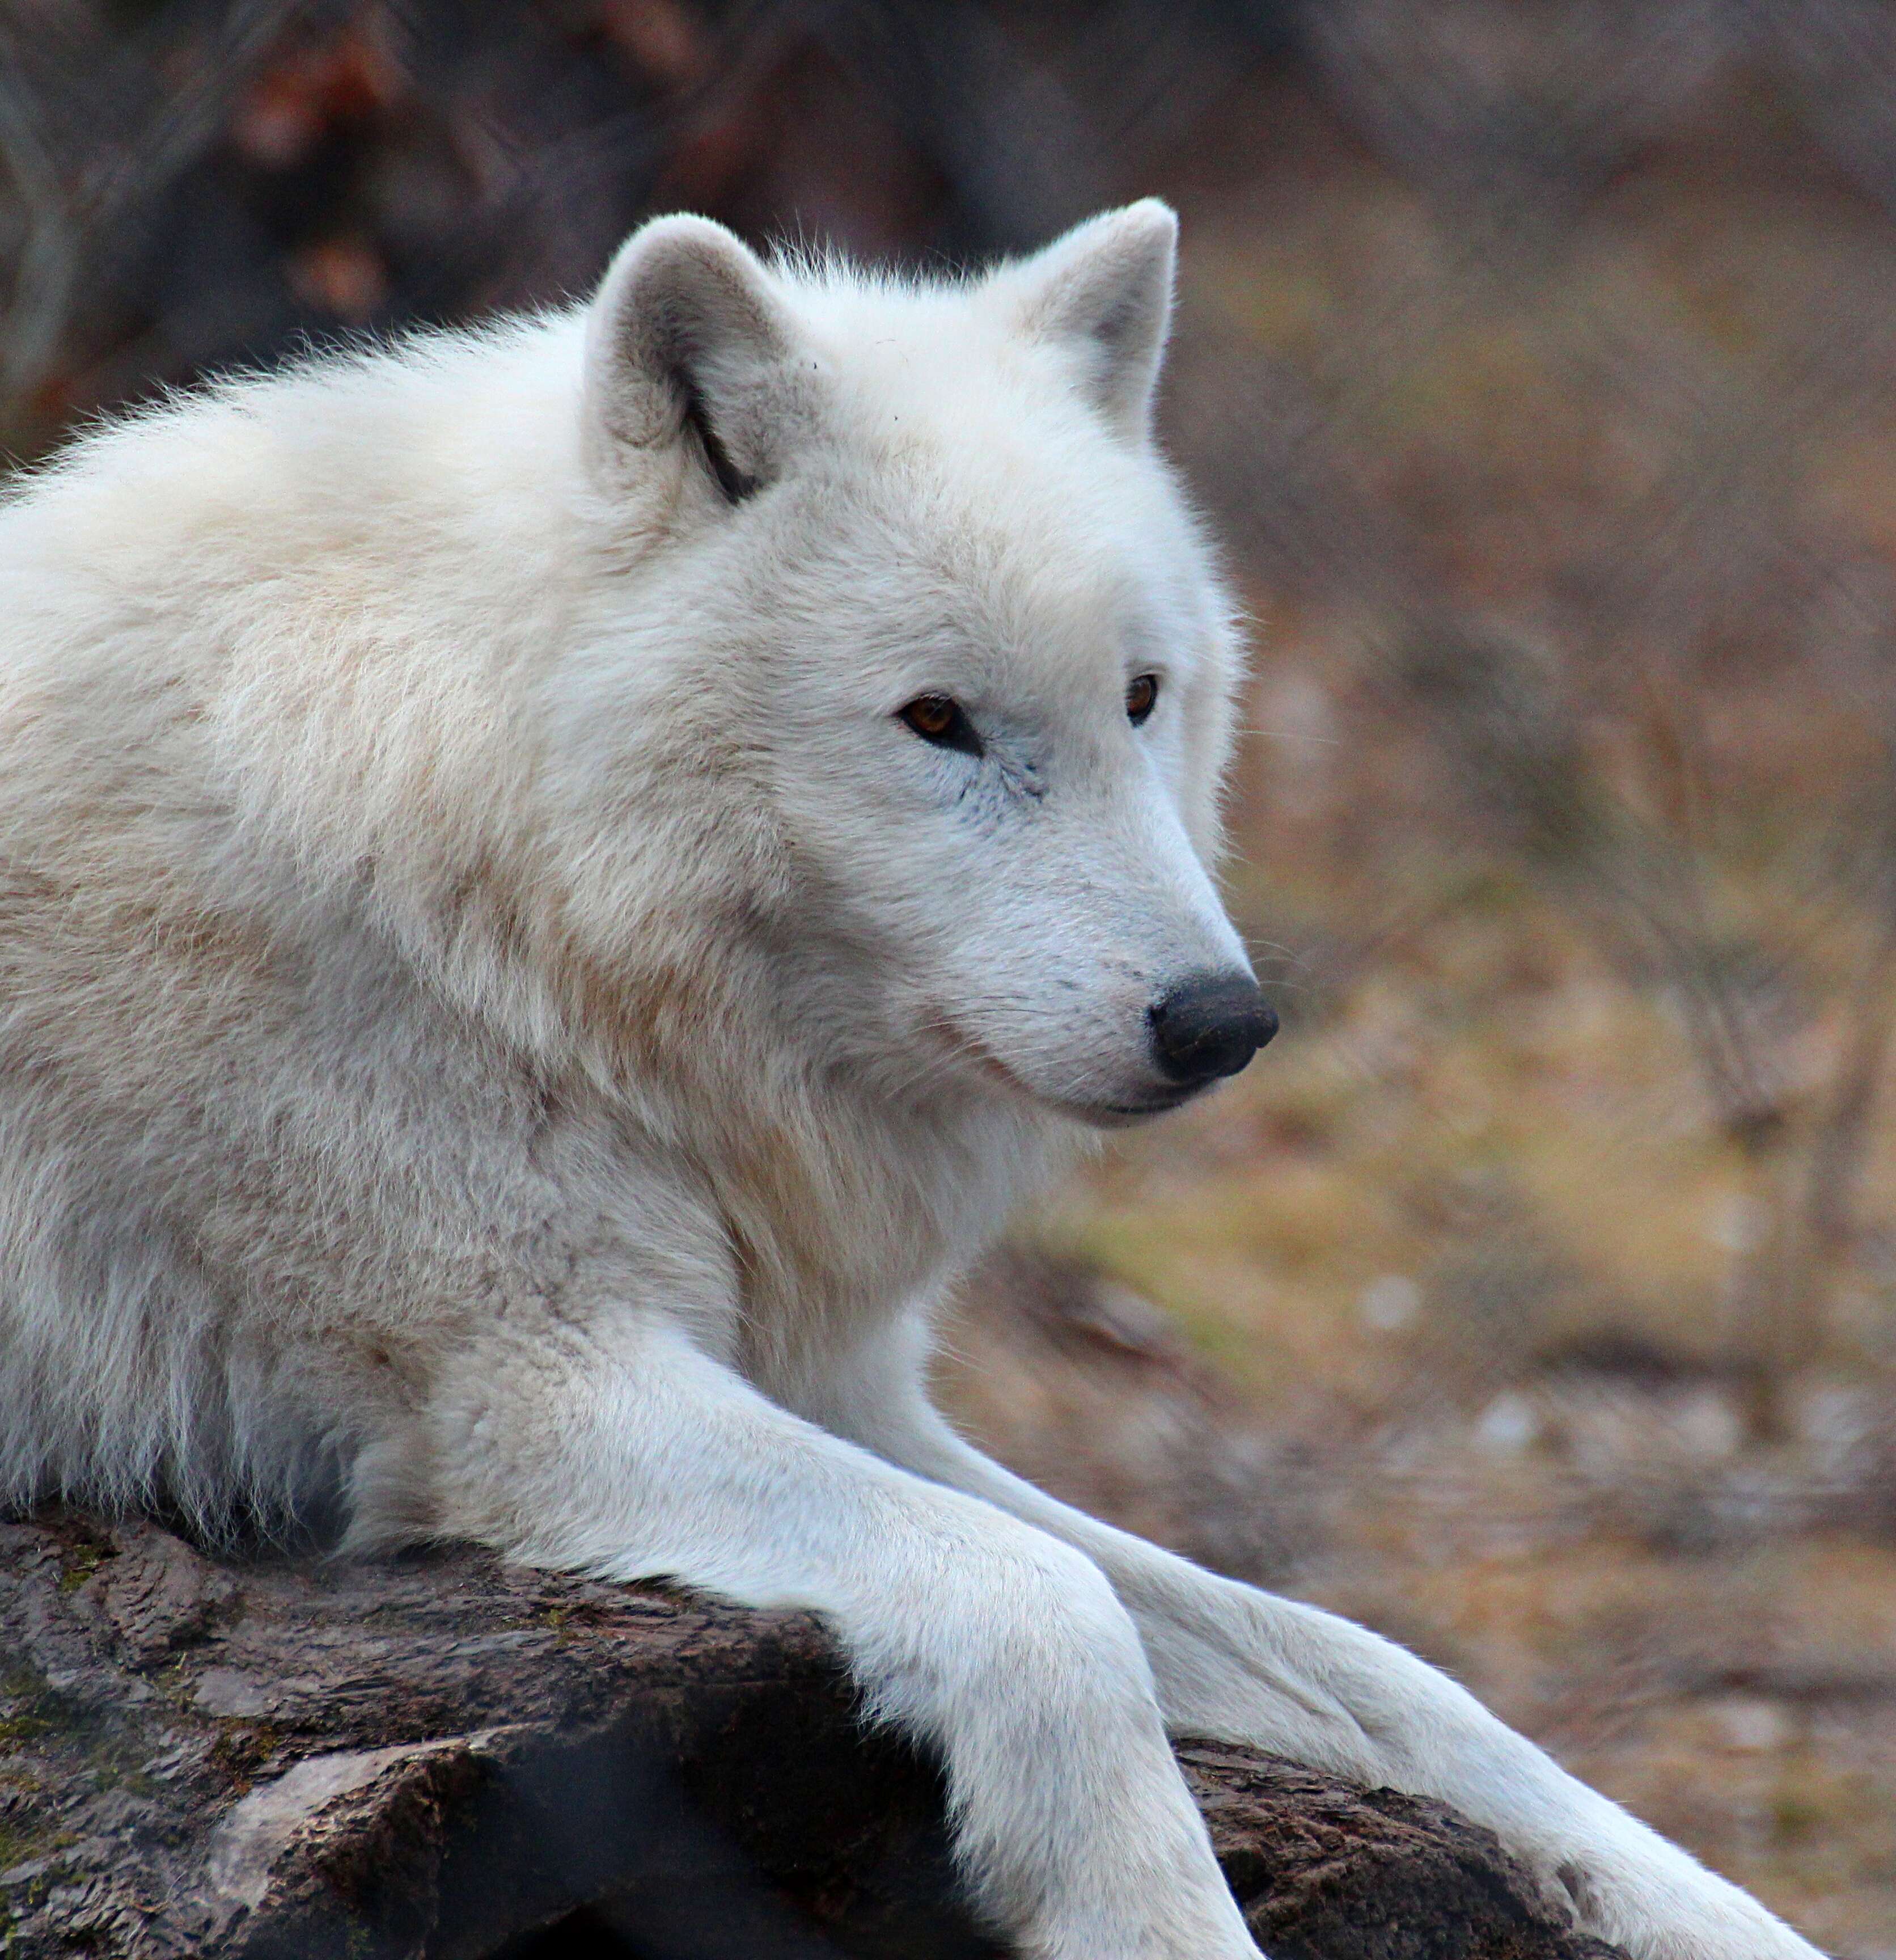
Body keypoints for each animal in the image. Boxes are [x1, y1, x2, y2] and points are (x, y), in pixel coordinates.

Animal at [0, 202, 1825, 1960]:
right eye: (936, 720)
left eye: (1140, 698)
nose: (1221, 1022)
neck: (498, 883)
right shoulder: (533, 1385)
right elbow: (1047, 1600)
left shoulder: (845, 1390)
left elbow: (1389, 1674)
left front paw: (1714, 1911)